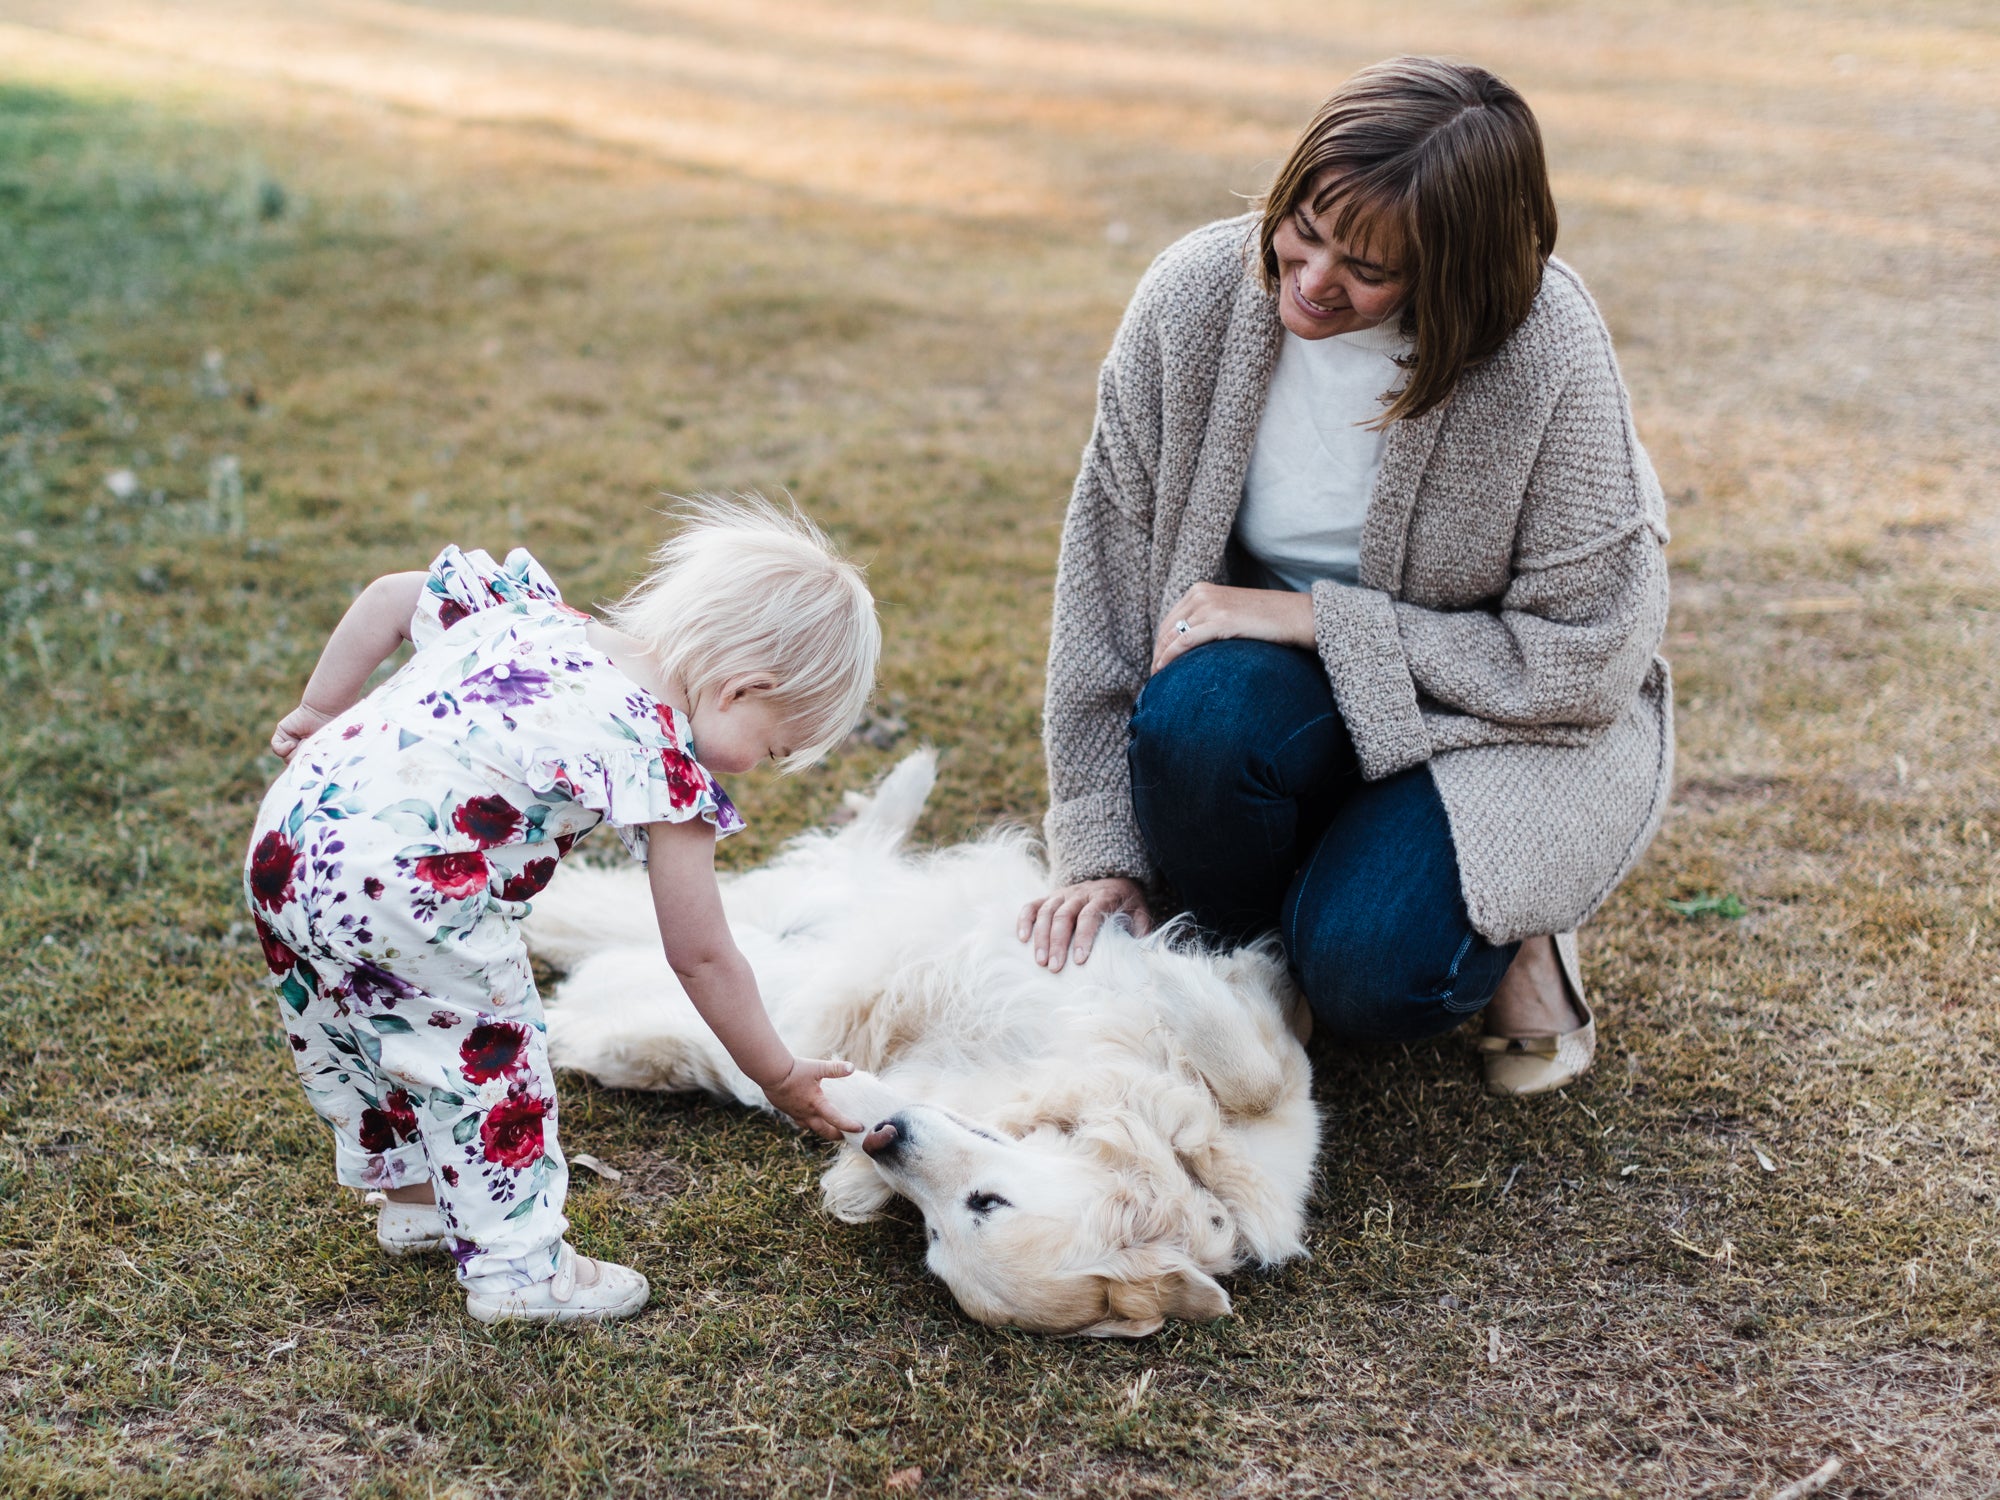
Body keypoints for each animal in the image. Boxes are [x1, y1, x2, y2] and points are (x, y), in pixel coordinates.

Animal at [524, 752, 1320, 1336]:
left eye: (962, 1219)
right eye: (978, 1206)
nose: (887, 1138)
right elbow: (1247, 1068)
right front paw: (1157, 963)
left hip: (756, 967)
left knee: (640, 963)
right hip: (796, 921)